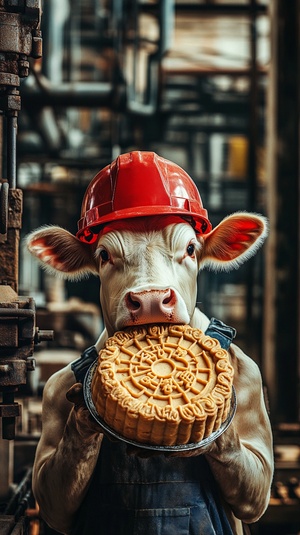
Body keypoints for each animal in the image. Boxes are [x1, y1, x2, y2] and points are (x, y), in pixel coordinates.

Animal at [27, 152, 274, 535]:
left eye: (190, 248)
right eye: (103, 255)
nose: (151, 299)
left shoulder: (250, 379)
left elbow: (258, 486)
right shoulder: (54, 392)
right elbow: (51, 495)